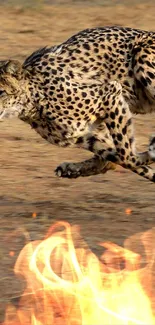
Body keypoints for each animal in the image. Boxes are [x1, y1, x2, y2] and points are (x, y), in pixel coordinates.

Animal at [0, 25, 155, 182]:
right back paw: (71, 169)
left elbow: (126, 155)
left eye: (1, 92)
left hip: (141, 55)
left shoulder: (109, 93)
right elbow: (120, 158)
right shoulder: (86, 135)